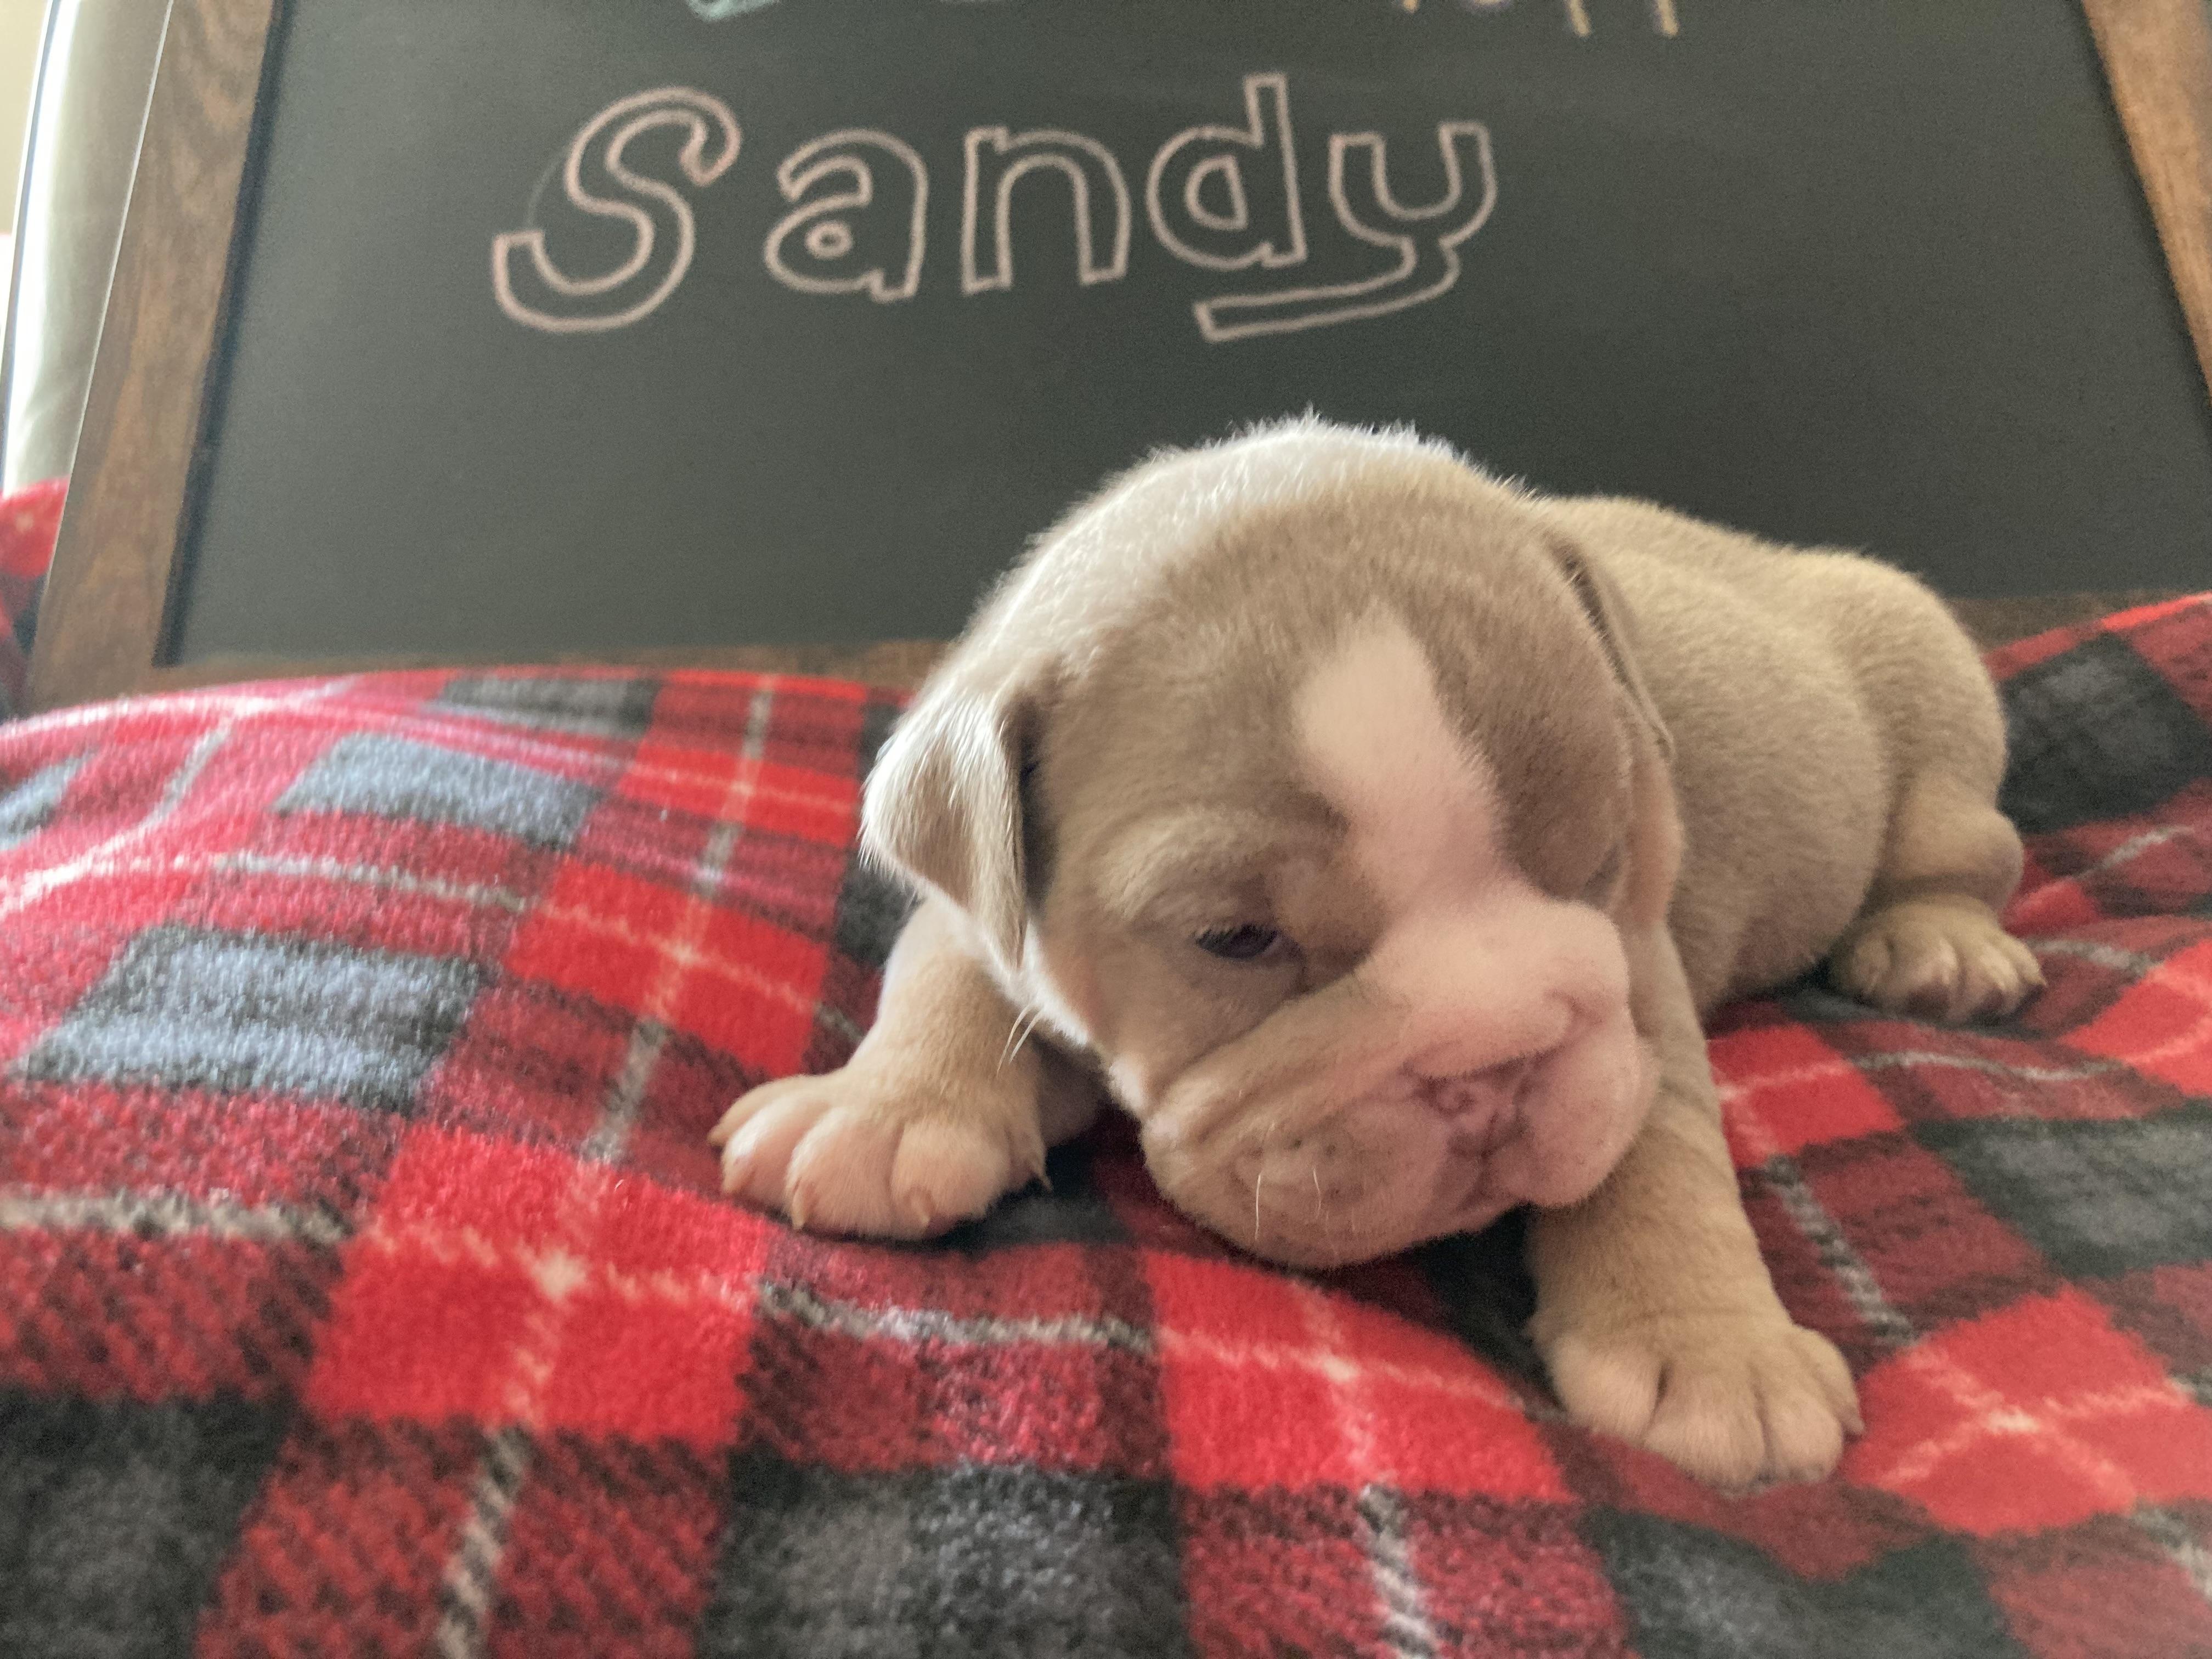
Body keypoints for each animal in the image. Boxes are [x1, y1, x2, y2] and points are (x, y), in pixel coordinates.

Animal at [710, 419, 2040, 1486]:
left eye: (1603, 853)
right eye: (1236, 938)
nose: (1493, 1074)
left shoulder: (1642, 979)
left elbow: (1654, 1136)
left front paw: (1710, 1351)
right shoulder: (983, 903)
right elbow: (941, 971)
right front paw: (883, 1114)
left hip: (1924, 695)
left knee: (1965, 848)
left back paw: (1938, 945)